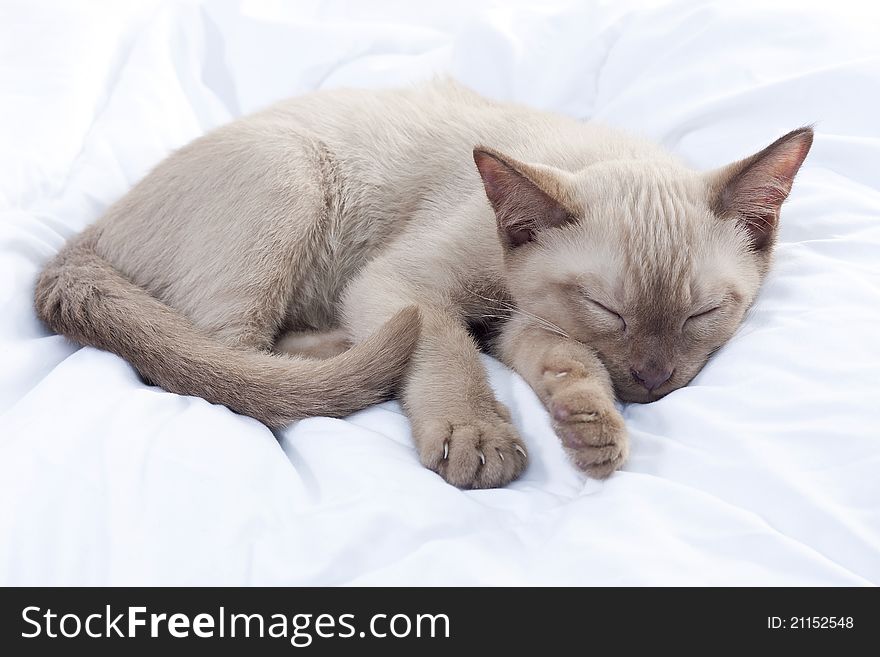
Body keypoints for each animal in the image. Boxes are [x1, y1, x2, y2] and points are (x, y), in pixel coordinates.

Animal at [37, 78, 816, 486]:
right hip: (291, 172)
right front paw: (478, 437)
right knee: (226, 365)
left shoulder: (520, 322)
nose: (654, 381)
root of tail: (89, 230)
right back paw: (342, 351)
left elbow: (563, 361)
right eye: (609, 308)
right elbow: (445, 343)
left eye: (702, 314)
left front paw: (591, 427)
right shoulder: (407, 284)